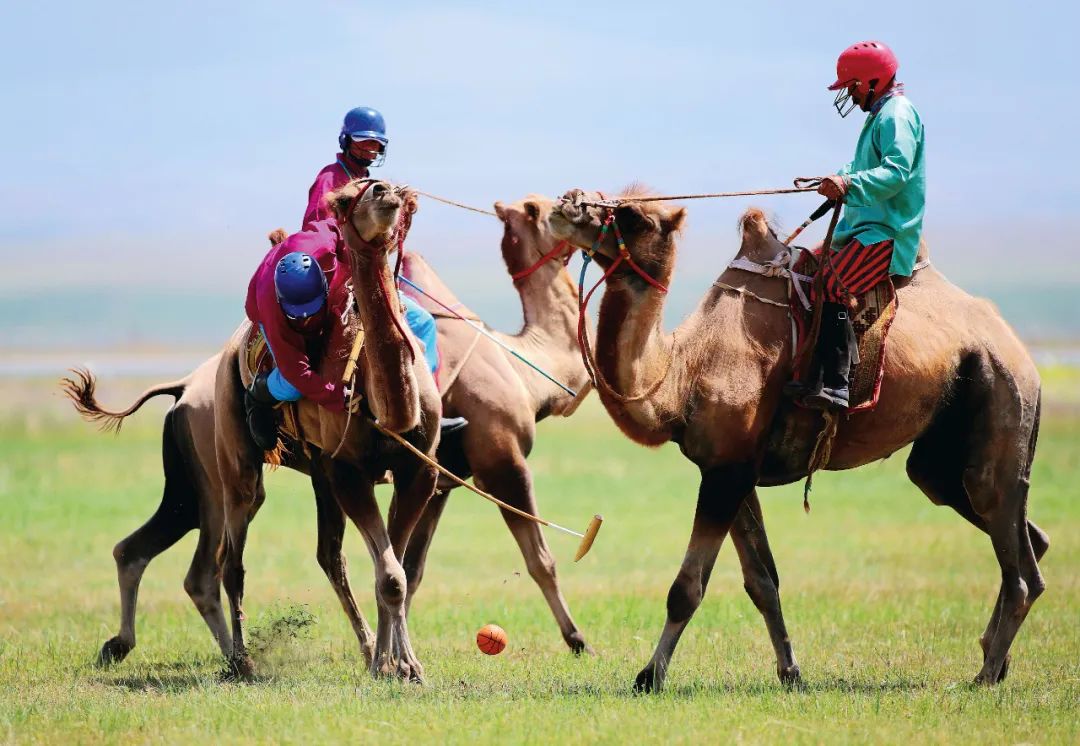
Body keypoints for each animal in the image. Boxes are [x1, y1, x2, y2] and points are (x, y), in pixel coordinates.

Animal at [548, 187, 1045, 695]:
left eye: (632, 216)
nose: (566, 203)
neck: (682, 374)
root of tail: (1019, 350)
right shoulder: (731, 467)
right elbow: (762, 582)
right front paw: (790, 673)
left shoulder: (726, 473)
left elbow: (686, 589)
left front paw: (649, 676)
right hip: (944, 449)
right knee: (1019, 533)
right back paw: (995, 658)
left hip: (1002, 394)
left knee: (1011, 544)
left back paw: (985, 674)